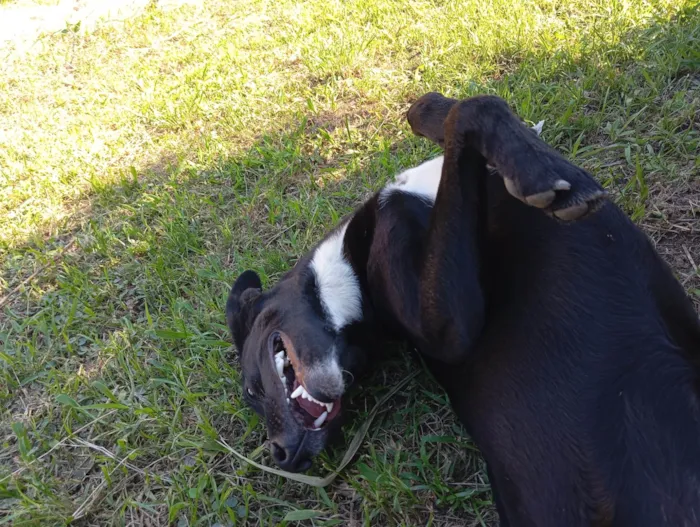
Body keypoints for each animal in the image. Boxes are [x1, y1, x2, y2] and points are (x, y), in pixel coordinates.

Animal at [228, 93, 700, 524]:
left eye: (252, 389)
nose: (281, 455)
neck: (354, 267)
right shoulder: (445, 327)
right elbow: (471, 110)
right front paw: (542, 174)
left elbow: (435, 106)